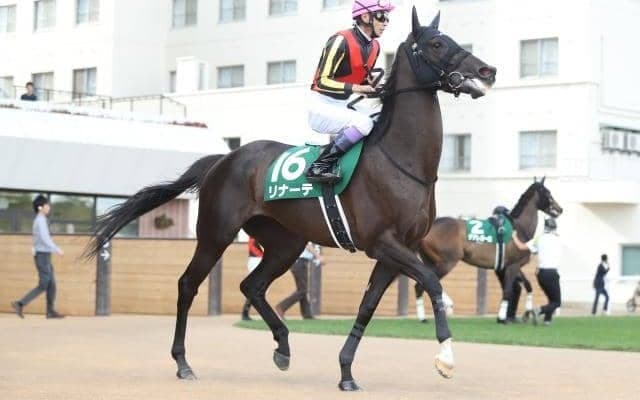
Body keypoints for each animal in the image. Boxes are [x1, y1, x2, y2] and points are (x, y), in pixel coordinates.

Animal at [87, 7, 496, 391]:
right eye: (437, 43)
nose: (487, 69)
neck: (401, 160)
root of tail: (223, 159)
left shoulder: (395, 250)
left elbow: (368, 305)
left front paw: (346, 371)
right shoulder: (383, 243)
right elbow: (432, 282)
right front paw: (445, 357)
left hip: (285, 242)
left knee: (251, 286)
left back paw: (283, 345)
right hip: (216, 233)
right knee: (188, 284)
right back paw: (183, 362)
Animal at [414, 178, 563, 322]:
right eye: (548, 193)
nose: (560, 209)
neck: (518, 228)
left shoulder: (511, 266)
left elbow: (528, 285)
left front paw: (527, 312)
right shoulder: (513, 266)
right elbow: (508, 291)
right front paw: (502, 318)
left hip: (432, 262)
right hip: (447, 262)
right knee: (421, 285)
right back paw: (425, 317)